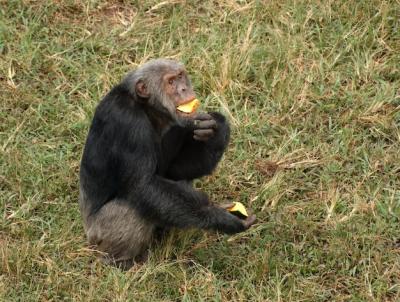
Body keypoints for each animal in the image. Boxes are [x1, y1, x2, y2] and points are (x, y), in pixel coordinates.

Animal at [79, 57, 256, 268]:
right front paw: (220, 215)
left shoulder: (176, 126)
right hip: (98, 235)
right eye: (171, 82)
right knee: (129, 209)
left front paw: (217, 126)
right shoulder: (127, 121)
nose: (184, 89)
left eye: (180, 76)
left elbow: (177, 170)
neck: (147, 108)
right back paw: (121, 261)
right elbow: (143, 184)